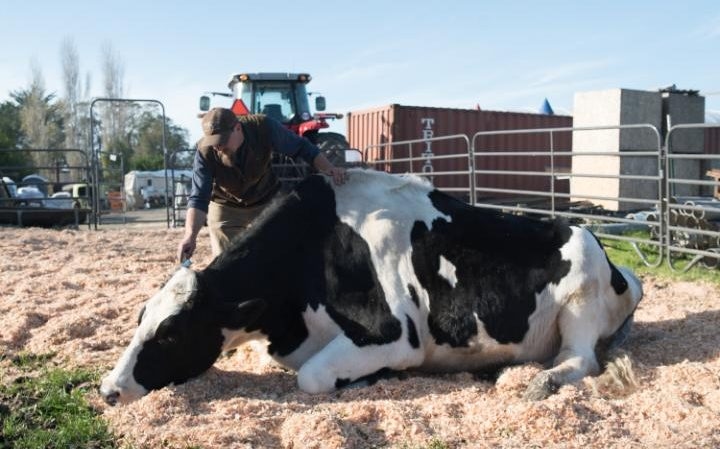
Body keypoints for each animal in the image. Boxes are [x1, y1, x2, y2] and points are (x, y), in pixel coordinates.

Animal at [100, 168, 643, 405]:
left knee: (580, 360)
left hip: (579, 303)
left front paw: (371, 379)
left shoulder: (394, 335)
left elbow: (312, 377)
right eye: (140, 317)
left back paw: (539, 382)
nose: (108, 390)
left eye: (171, 333)